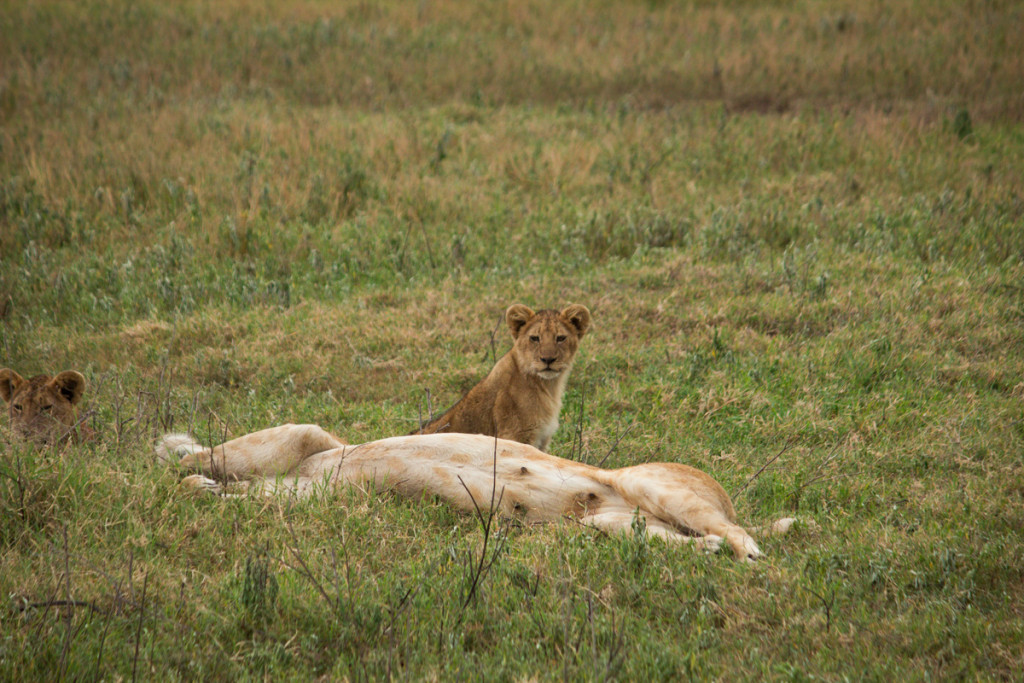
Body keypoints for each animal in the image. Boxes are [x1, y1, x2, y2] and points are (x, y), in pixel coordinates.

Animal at [411, 305, 593, 454]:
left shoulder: (543, 439)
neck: (547, 385)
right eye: (535, 338)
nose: (547, 359)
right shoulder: (515, 435)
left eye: (560, 338)